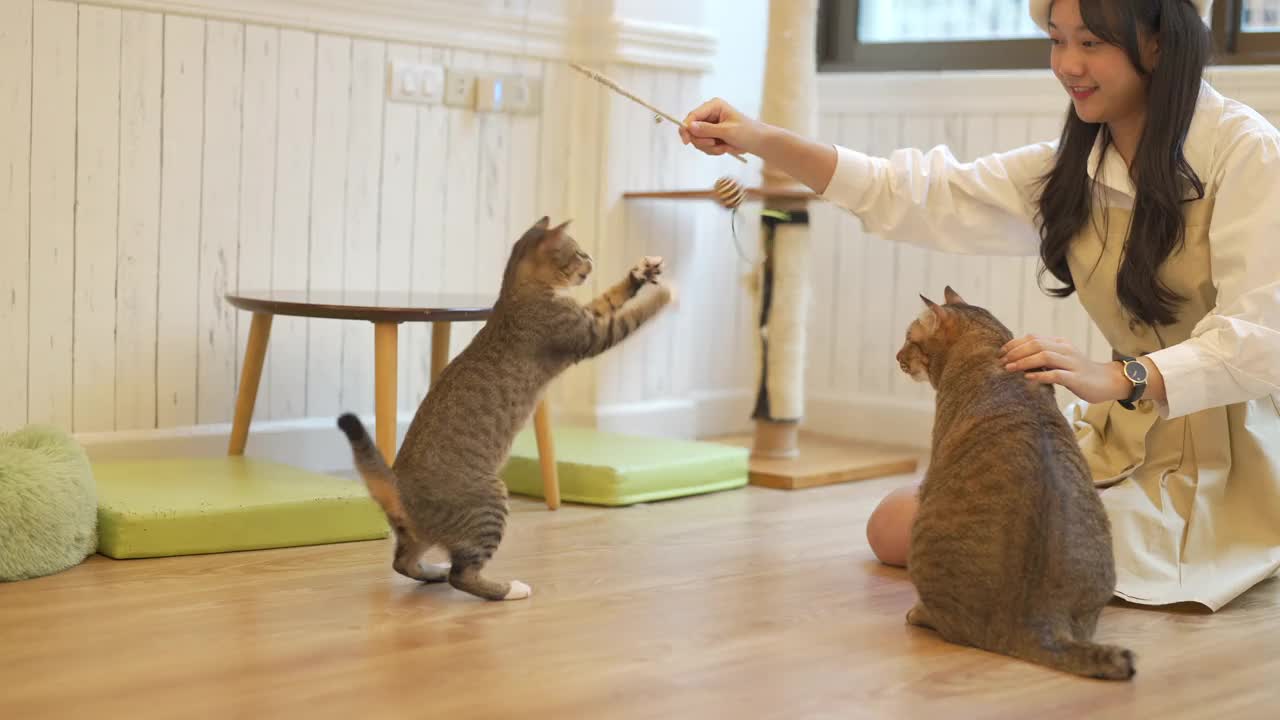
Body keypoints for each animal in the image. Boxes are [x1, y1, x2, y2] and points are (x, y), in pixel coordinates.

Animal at [335, 215, 675, 597]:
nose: (591, 259)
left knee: (404, 563)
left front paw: (641, 273)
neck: (515, 293)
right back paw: (509, 589)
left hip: (419, 536)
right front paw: (663, 294)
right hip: (491, 500)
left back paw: (434, 572)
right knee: (462, 575)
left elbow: (609, 297)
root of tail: (397, 486)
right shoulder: (587, 336)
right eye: (578, 253)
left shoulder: (585, 315)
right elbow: (629, 317)